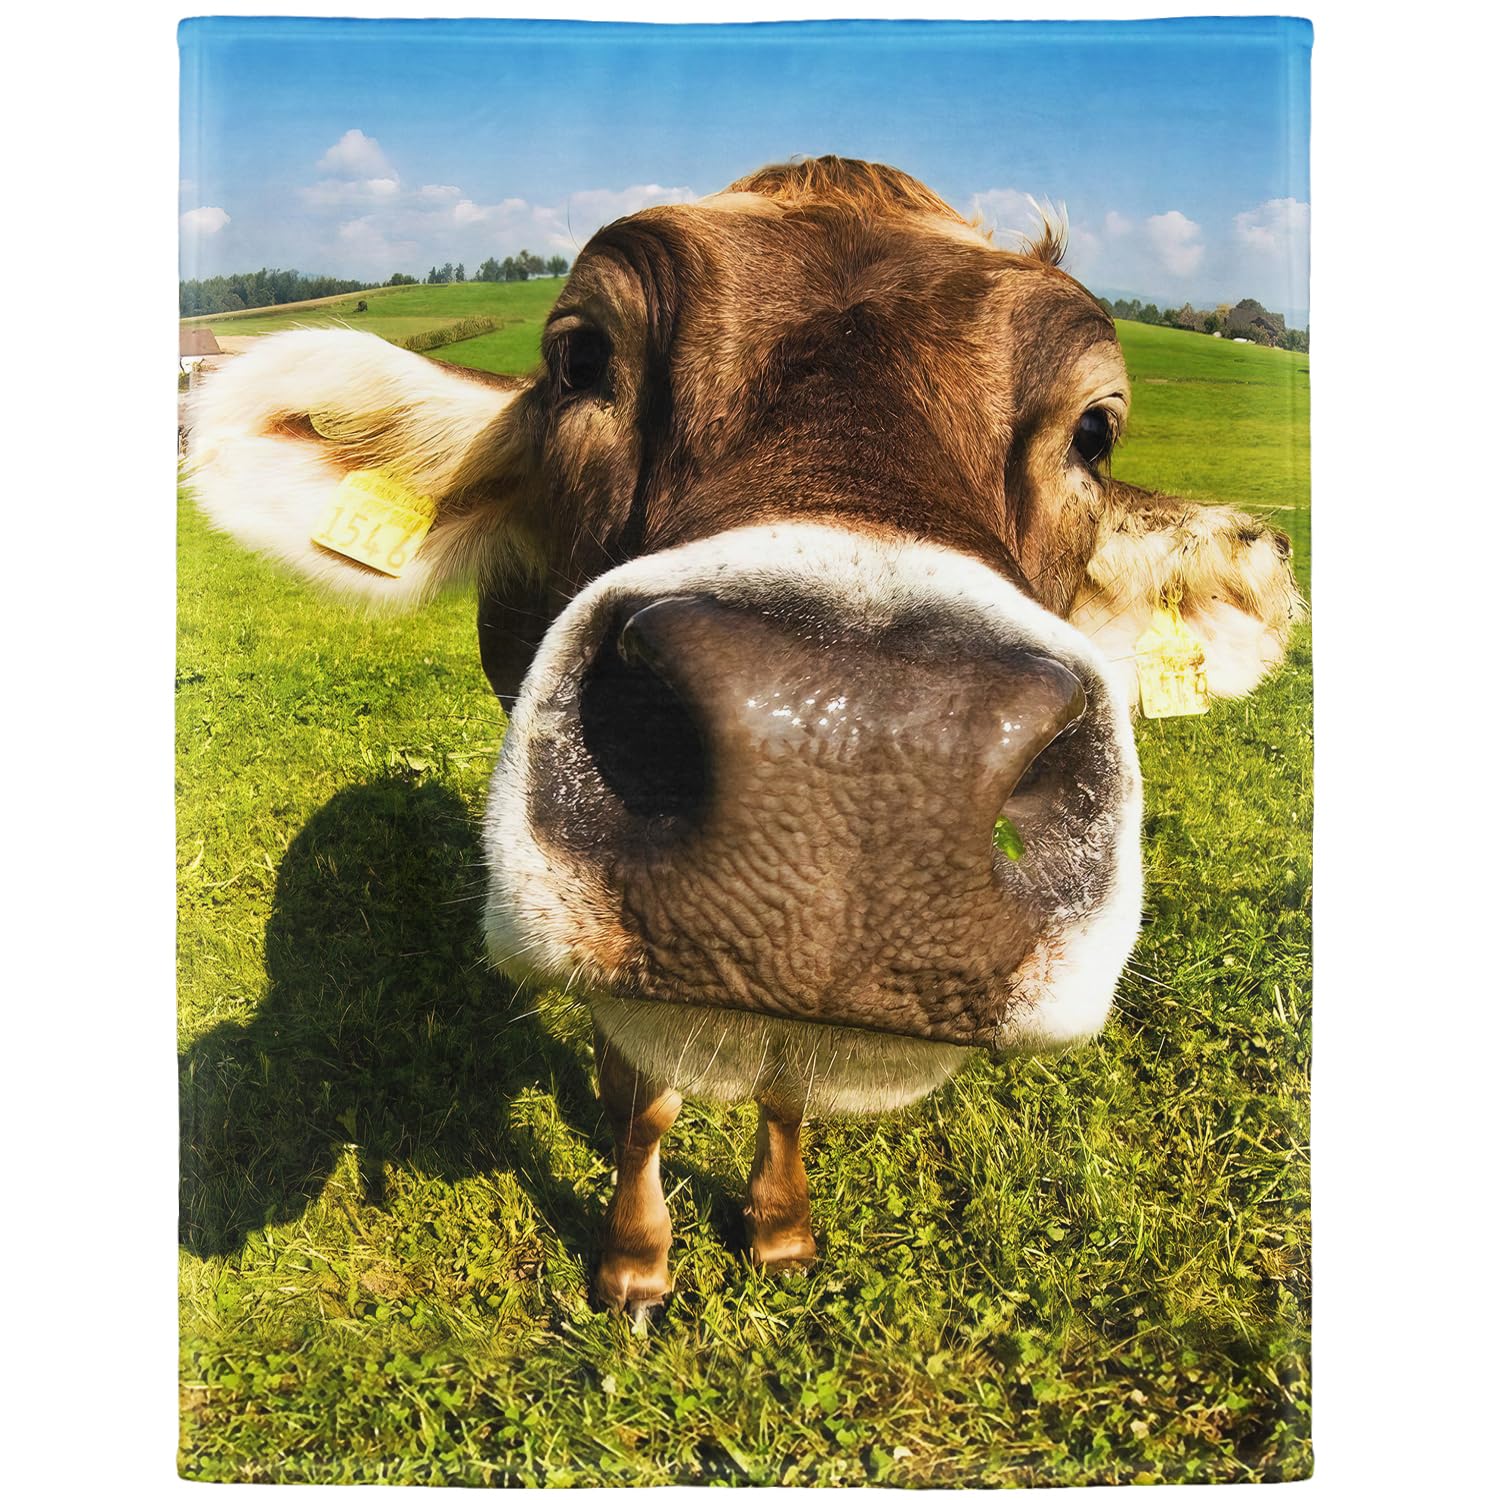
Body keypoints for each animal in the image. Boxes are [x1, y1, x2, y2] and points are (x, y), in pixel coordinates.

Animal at [186, 156, 1301, 1321]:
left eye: (1094, 431)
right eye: (580, 355)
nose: (859, 746)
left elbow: (785, 1084)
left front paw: (779, 1228)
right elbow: (640, 1097)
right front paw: (635, 1261)